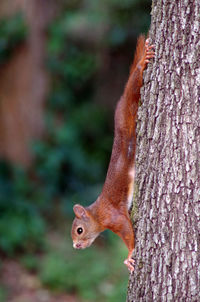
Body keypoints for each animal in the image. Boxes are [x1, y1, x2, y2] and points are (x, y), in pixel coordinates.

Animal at [71, 36, 155, 272]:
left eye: (79, 230)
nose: (75, 246)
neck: (97, 213)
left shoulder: (114, 216)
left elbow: (127, 230)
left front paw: (130, 255)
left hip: (130, 106)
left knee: (135, 82)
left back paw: (141, 63)